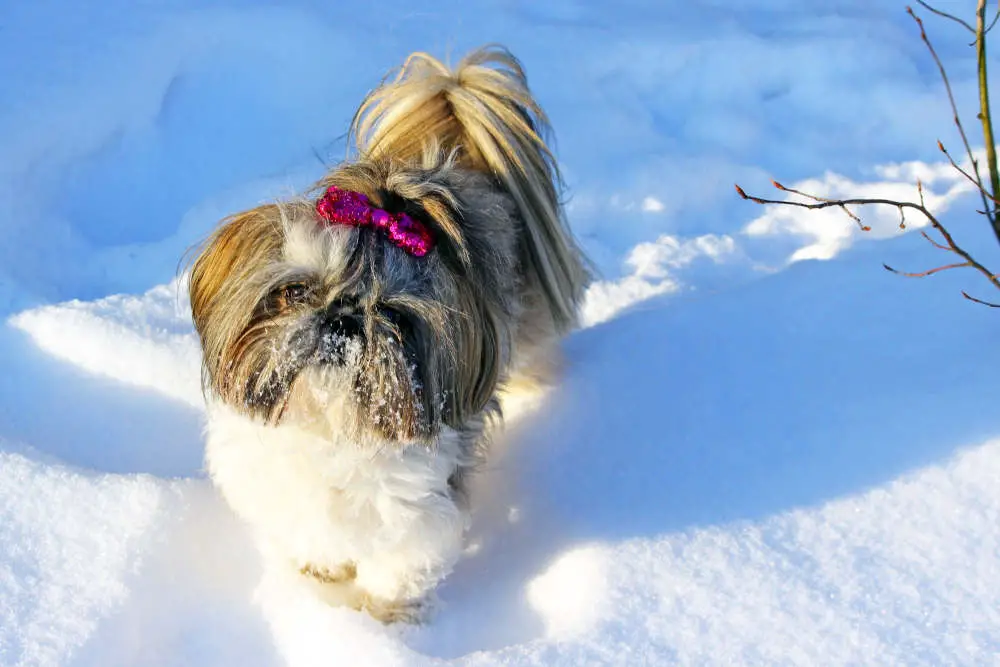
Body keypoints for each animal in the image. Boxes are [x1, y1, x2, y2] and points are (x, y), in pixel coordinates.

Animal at [188, 45, 584, 620]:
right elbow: (312, 537)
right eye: (297, 291)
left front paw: (382, 619)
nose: (343, 318)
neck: (329, 431)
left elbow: (397, 570)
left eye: (394, 315)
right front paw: (321, 576)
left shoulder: (418, 515)